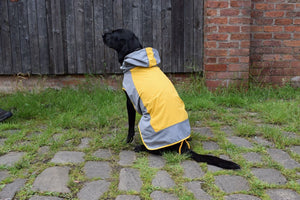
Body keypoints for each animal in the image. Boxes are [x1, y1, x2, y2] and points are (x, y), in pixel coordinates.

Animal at [102, 28, 240, 170]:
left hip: (145, 126)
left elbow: (130, 126)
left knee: (159, 150)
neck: (136, 58)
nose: (103, 34)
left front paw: (127, 141)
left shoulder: (130, 102)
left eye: (113, 33)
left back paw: (141, 147)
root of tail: (183, 147)